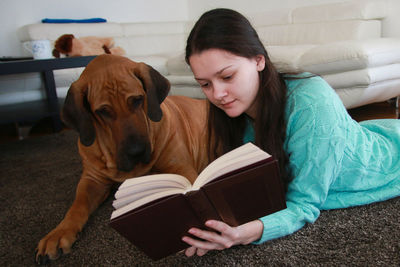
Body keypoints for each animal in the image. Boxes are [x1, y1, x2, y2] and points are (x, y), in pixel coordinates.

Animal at [35, 55, 208, 266]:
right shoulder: (92, 180)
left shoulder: (181, 169)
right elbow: (77, 206)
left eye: (137, 100)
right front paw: (58, 233)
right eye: (103, 111)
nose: (136, 151)